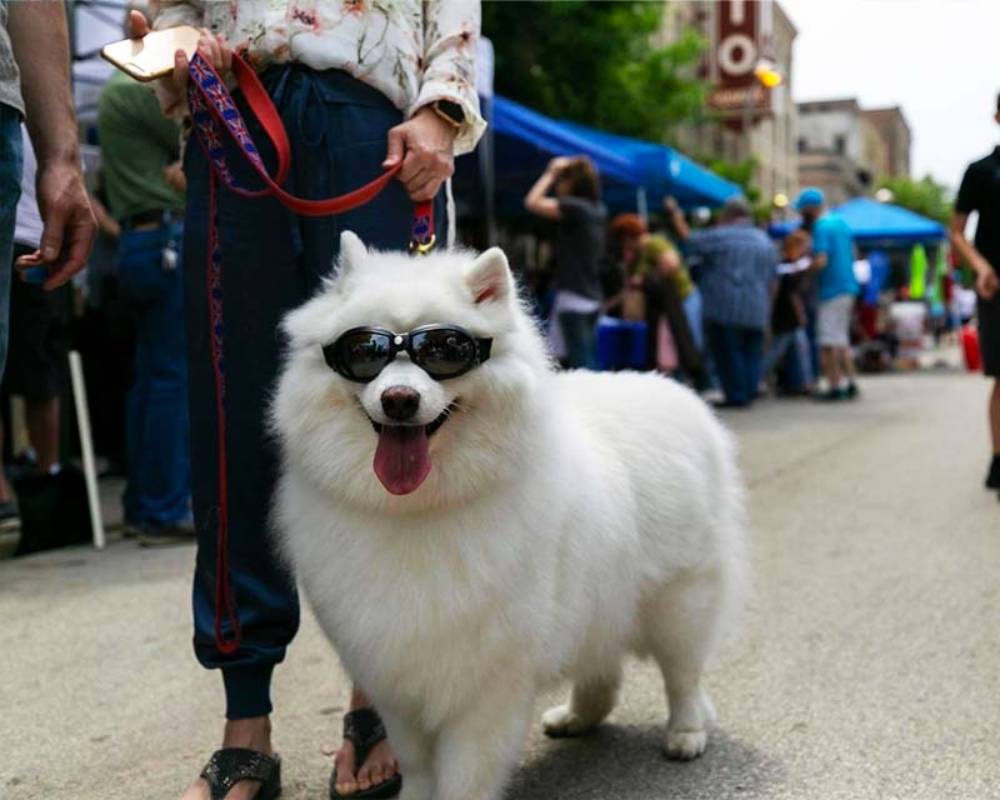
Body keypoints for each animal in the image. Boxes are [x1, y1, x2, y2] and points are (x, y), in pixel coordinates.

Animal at [270, 231, 748, 800]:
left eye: (445, 351)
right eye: (365, 351)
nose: (399, 399)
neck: (420, 509)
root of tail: (677, 392)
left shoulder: (485, 689)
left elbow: (462, 779)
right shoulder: (397, 680)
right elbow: (418, 766)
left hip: (680, 601)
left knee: (684, 675)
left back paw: (686, 733)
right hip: (602, 599)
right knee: (603, 667)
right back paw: (577, 717)